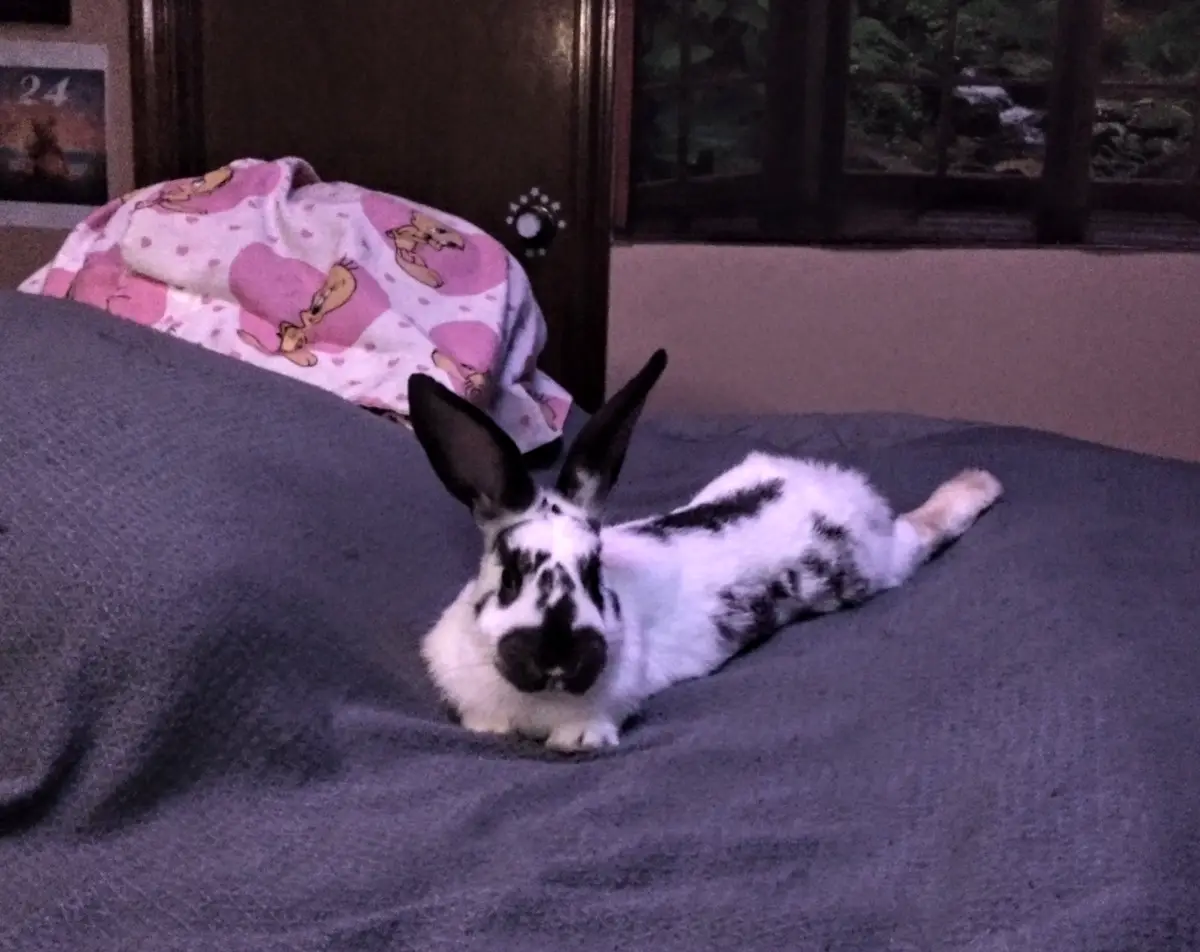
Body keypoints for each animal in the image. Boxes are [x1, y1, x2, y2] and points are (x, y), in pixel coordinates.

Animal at [406, 349, 1003, 753]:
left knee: (923, 531)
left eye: (594, 573)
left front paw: (574, 741)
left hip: (874, 565)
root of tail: (837, 484)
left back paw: (980, 483)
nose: (557, 657)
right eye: (510, 575)